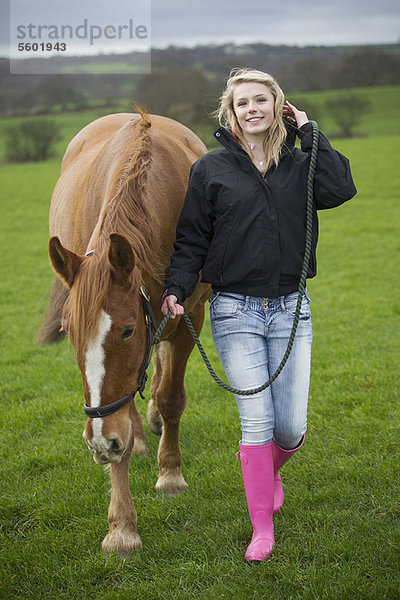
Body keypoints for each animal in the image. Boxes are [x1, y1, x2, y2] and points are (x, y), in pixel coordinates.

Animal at [38, 111, 211, 552]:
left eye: (128, 331)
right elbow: (124, 428)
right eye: (70, 333)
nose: (100, 443)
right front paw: (121, 527)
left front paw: (170, 474)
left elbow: (170, 396)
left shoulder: (189, 317)